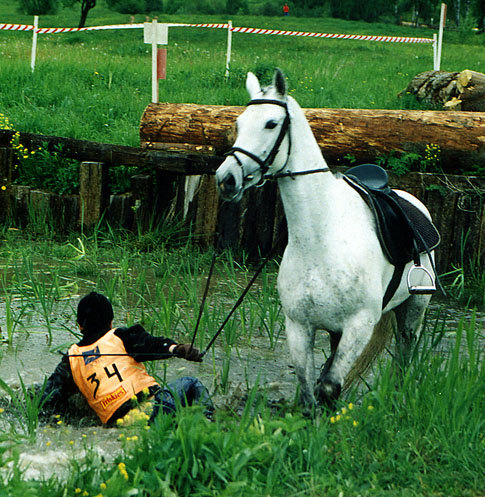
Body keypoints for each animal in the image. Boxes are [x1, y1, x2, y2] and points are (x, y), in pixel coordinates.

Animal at [216, 69, 434, 410]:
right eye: (238, 123)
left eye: (271, 124)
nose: (226, 179)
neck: (320, 239)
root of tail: (412, 200)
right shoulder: (299, 327)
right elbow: (310, 391)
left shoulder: (359, 325)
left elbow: (329, 388)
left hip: (413, 310)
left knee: (404, 355)